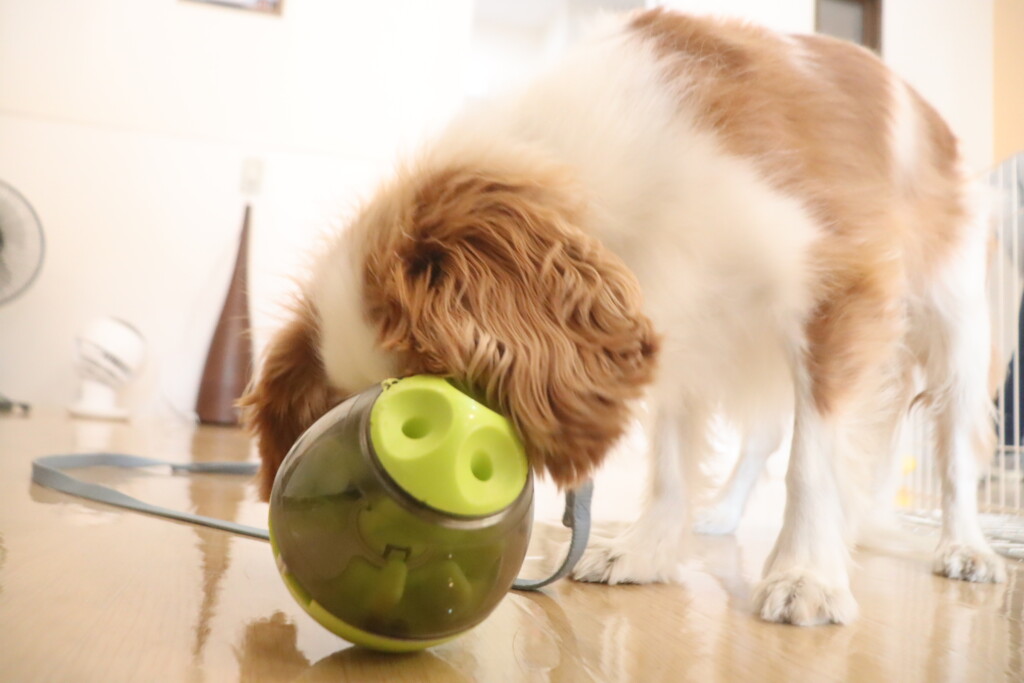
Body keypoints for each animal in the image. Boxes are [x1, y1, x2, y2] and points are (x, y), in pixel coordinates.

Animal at [241, 9, 1006, 626]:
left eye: (437, 388)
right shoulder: (680, 318)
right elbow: (670, 461)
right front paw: (646, 550)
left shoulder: (838, 288)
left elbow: (813, 463)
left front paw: (806, 576)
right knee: (762, 433)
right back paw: (720, 514)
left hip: (957, 318)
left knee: (956, 452)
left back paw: (967, 546)